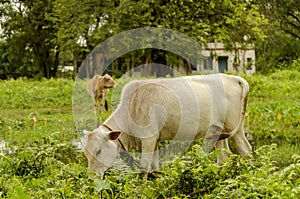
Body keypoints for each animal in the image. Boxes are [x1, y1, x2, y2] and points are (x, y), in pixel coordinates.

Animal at [83, 74, 252, 179]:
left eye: (98, 151)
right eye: (86, 154)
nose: (91, 178)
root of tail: (234, 78)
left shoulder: (148, 138)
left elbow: (144, 168)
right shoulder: (155, 141)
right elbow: (155, 167)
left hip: (233, 128)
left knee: (242, 151)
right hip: (221, 130)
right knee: (228, 154)